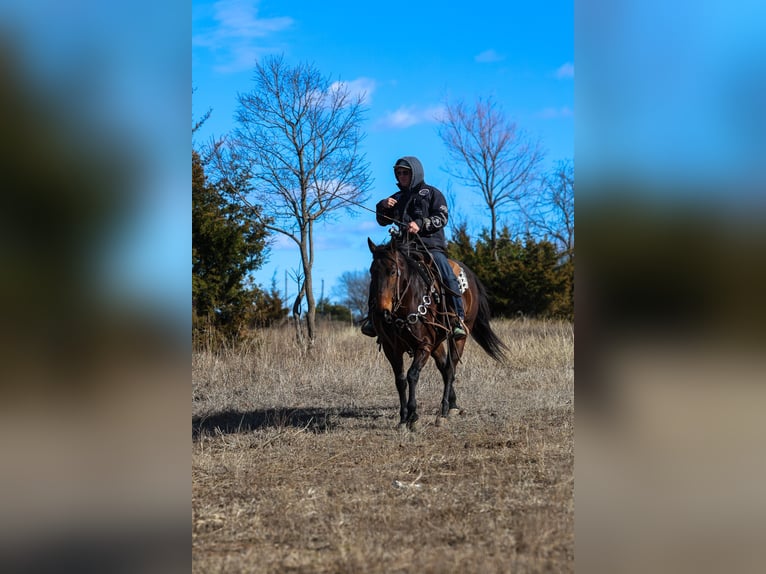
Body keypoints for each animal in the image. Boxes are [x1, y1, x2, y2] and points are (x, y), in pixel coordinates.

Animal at [367, 237, 508, 431]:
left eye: (393, 271)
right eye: (372, 272)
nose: (382, 312)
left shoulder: (424, 345)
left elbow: (412, 375)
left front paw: (414, 417)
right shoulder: (391, 349)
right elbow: (400, 380)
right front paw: (403, 419)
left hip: (460, 337)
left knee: (450, 369)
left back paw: (444, 412)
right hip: (437, 344)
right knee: (443, 367)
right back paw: (453, 405)